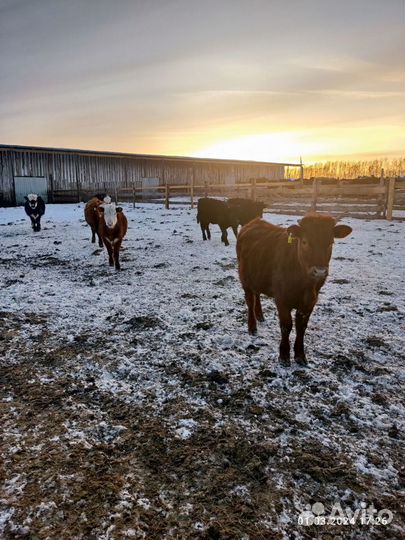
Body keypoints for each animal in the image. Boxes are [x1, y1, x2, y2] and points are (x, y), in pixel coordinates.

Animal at [235, 213, 352, 364]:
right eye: (305, 242)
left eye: (331, 243)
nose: (319, 272)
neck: (305, 284)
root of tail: (253, 222)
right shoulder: (281, 299)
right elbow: (286, 326)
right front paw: (284, 355)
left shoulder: (310, 302)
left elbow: (301, 327)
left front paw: (300, 355)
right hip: (245, 279)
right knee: (250, 300)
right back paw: (252, 326)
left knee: (257, 294)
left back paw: (260, 315)